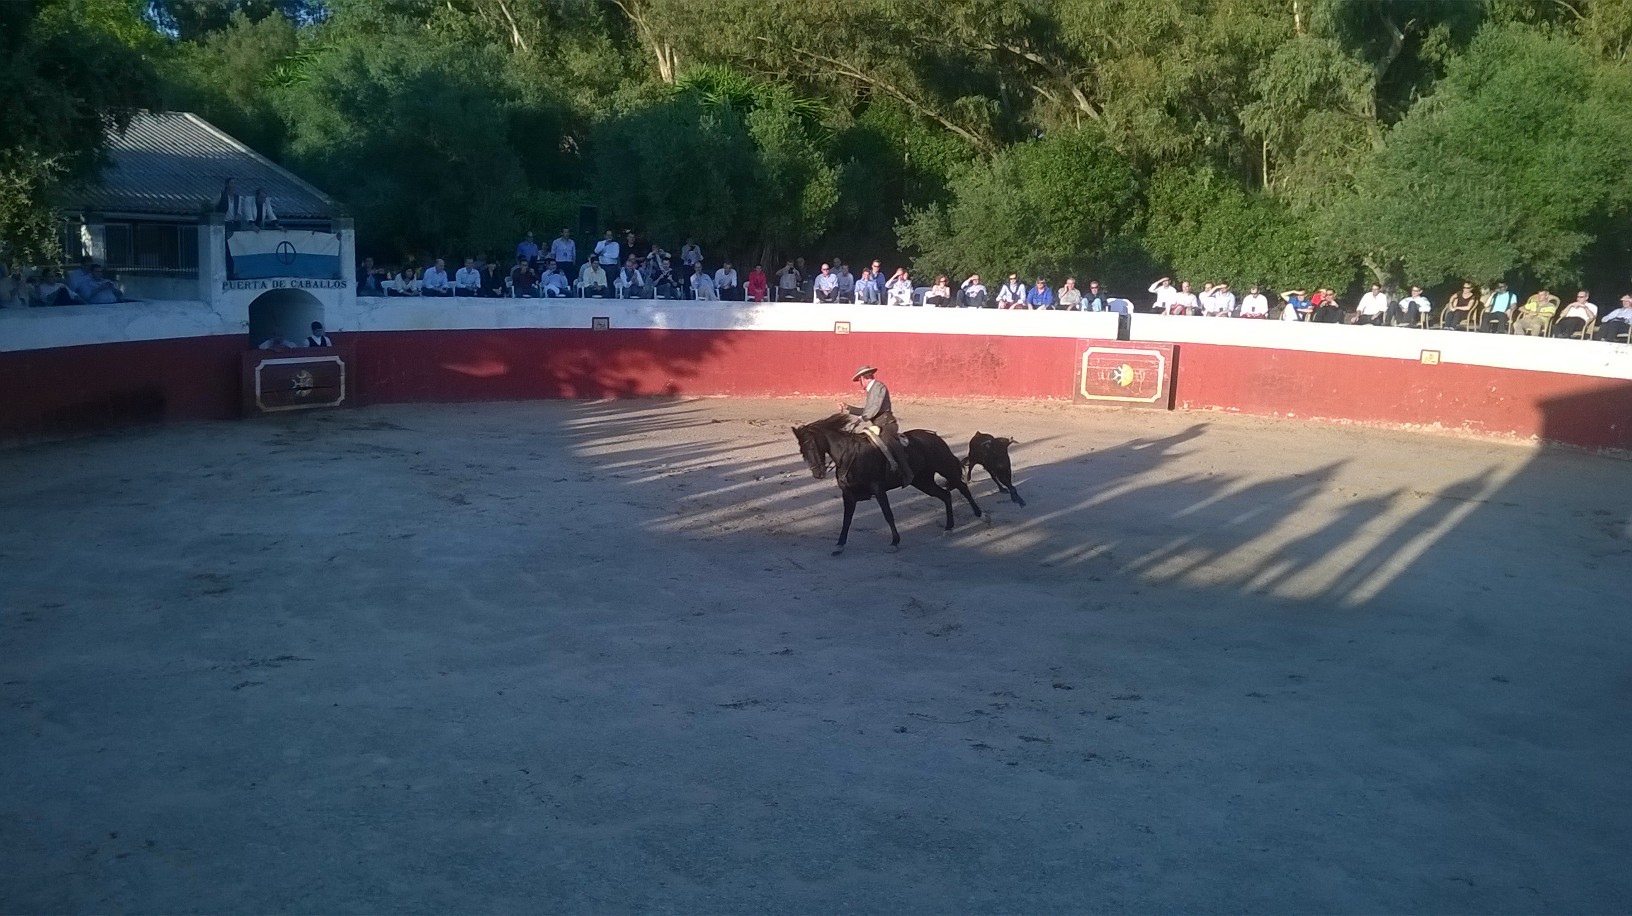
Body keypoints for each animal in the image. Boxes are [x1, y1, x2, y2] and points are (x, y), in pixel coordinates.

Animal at [791, 414, 982, 553]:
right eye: (801, 449)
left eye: (811, 445)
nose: (818, 474)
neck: (850, 455)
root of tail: (933, 436)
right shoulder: (848, 495)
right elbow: (847, 519)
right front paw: (839, 544)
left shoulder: (878, 489)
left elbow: (887, 514)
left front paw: (895, 542)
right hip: (922, 481)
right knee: (945, 494)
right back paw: (949, 528)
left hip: (945, 468)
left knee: (962, 488)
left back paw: (980, 515)